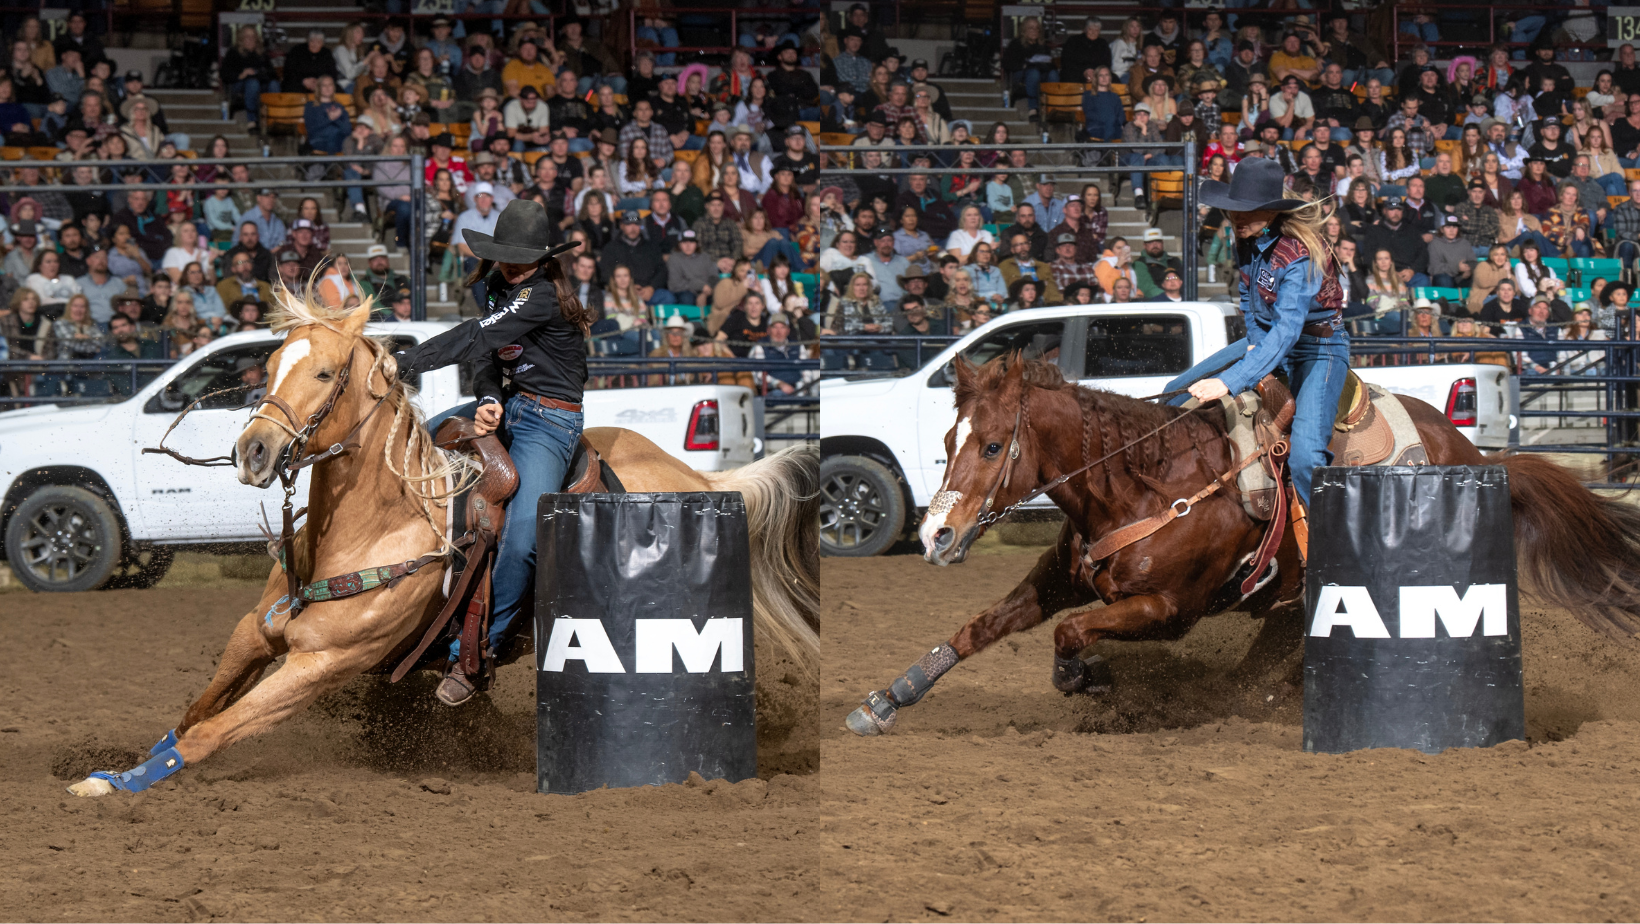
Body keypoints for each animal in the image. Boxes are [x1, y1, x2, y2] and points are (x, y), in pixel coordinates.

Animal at [70, 297, 820, 794]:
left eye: (324, 374)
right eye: (274, 363)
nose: (252, 451)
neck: (373, 529)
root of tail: (696, 475)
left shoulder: (322, 664)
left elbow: (210, 733)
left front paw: (115, 787)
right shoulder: (257, 631)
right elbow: (194, 712)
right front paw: (117, 767)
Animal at [846, 356, 1640, 738]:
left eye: (991, 445)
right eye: (948, 437)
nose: (936, 534)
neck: (1143, 485)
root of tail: (1473, 450)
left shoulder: (1168, 609)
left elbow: (1070, 636)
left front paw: (1089, 679)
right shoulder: (1060, 577)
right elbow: (976, 629)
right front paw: (887, 700)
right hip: (1291, 607)